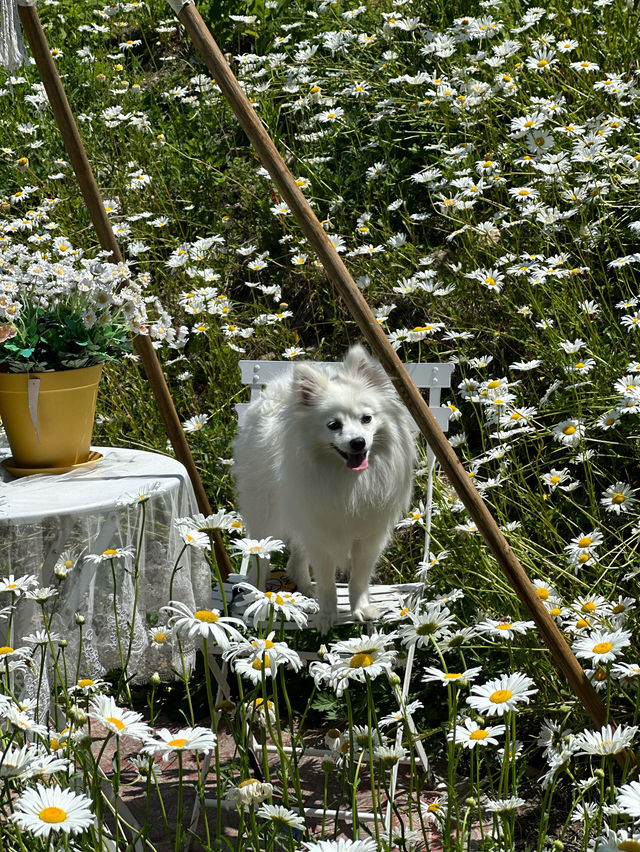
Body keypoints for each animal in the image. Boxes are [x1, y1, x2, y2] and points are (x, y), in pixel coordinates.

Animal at [232, 342, 418, 628]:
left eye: (366, 419)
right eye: (333, 425)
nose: (358, 442)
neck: (349, 480)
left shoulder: (368, 537)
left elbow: (358, 579)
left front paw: (360, 609)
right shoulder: (321, 535)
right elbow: (328, 582)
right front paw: (328, 616)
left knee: (296, 559)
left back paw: (306, 588)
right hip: (268, 517)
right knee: (261, 558)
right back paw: (259, 593)